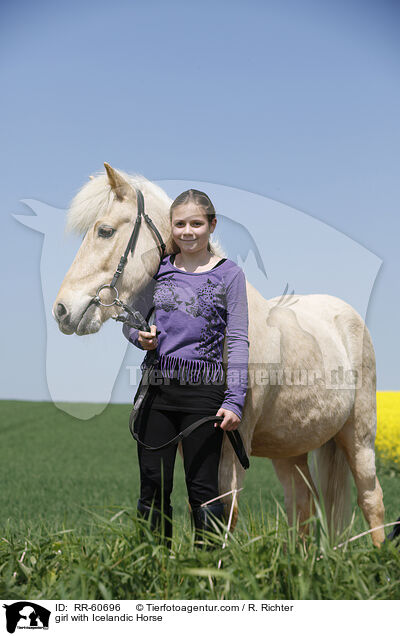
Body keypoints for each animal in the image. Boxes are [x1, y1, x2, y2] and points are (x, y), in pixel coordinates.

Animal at [52, 163, 384, 548]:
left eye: (104, 231)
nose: (62, 310)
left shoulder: (230, 442)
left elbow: (224, 512)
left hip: (358, 436)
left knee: (371, 499)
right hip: (291, 449)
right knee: (302, 507)